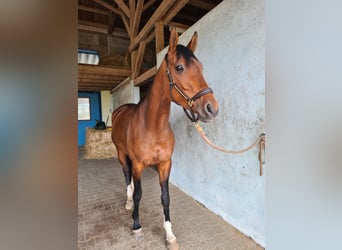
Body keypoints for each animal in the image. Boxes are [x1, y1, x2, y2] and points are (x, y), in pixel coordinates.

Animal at [112, 26, 219, 249]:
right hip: (121, 154)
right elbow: (138, 193)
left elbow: (166, 197)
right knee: (126, 176)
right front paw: (136, 225)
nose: (212, 108)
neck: (152, 127)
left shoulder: (165, 164)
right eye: (179, 67)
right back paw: (128, 203)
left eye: (201, 67)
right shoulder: (138, 164)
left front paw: (170, 235)